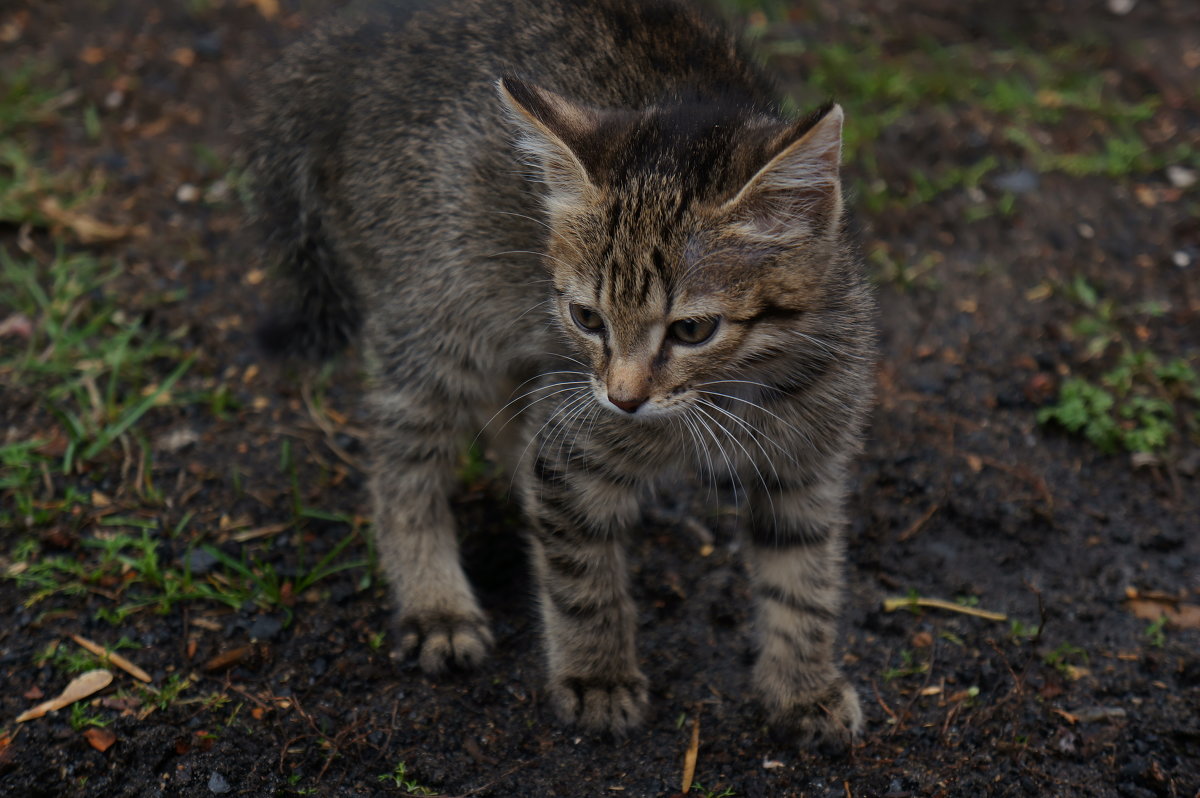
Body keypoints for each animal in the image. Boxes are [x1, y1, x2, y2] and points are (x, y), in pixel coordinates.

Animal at [248, 0, 878, 748]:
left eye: (692, 330)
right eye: (587, 318)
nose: (624, 399)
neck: (740, 390)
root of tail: (351, 45)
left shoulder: (806, 466)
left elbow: (803, 580)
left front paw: (803, 687)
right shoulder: (571, 434)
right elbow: (580, 572)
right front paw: (597, 675)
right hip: (439, 318)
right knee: (403, 461)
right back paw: (436, 604)